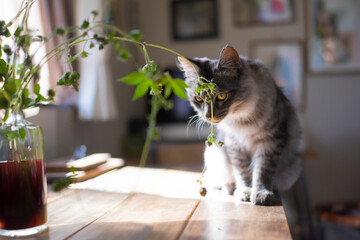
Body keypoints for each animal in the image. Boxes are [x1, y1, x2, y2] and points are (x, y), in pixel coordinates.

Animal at [179, 46, 302, 205]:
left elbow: (262, 172)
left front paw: (261, 194)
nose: (208, 116)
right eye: (199, 99)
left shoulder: (269, 142)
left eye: (221, 96)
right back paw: (230, 189)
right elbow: (242, 172)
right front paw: (244, 192)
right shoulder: (234, 145)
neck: (241, 119)